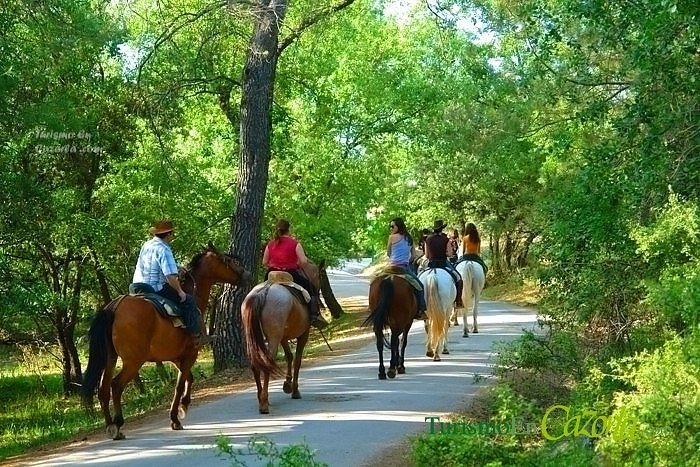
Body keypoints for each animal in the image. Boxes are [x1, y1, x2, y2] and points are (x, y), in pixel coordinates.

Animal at [81, 243, 250, 440]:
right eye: (229, 260)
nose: (247, 275)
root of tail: (115, 307)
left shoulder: (176, 357)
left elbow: (189, 378)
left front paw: (183, 406)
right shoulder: (190, 353)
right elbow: (179, 385)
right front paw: (175, 418)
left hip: (110, 358)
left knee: (103, 389)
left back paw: (110, 425)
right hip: (133, 361)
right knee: (116, 385)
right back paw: (118, 424)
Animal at [238, 262, 320, 414]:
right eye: (319, 276)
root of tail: (263, 292)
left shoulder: (283, 336)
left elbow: (289, 356)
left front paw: (287, 384)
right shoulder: (303, 334)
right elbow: (297, 360)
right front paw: (295, 390)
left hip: (252, 338)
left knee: (255, 364)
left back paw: (261, 398)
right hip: (273, 338)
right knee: (268, 362)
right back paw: (264, 403)